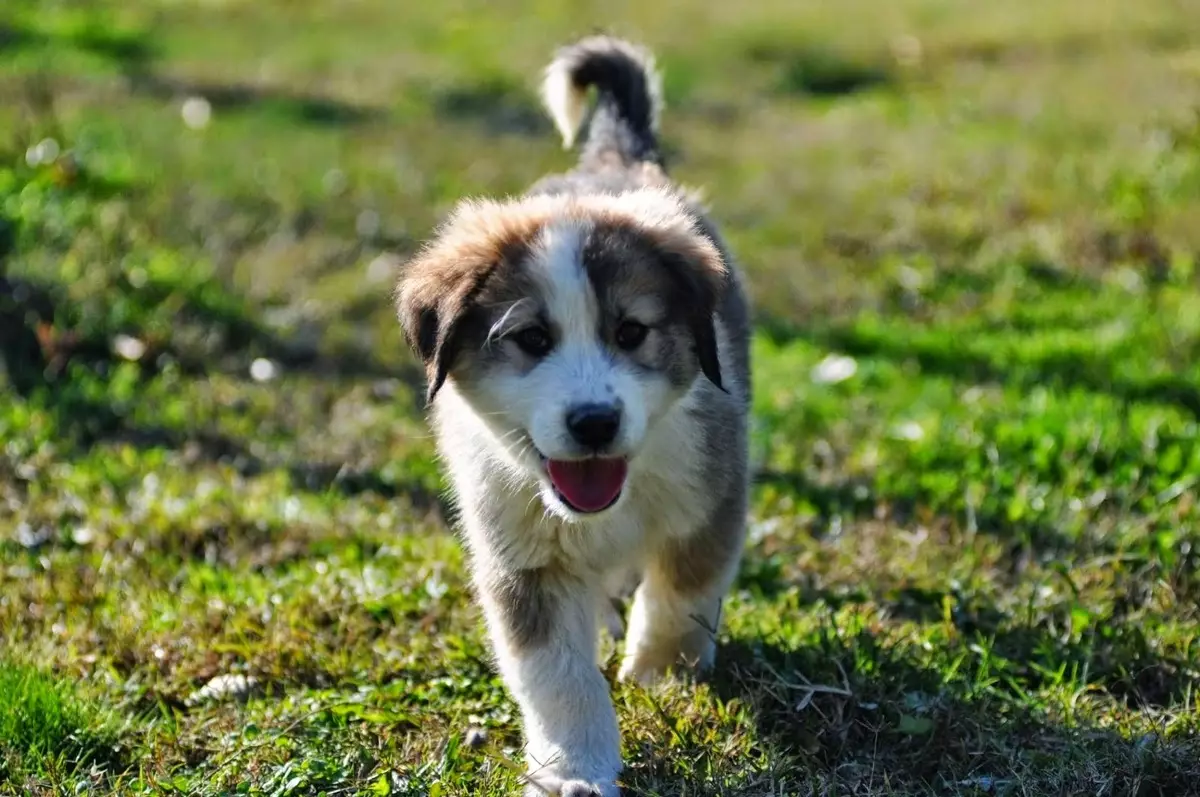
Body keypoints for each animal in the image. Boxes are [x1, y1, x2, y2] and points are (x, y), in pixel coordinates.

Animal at [393, 34, 748, 792]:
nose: (593, 424)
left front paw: (661, 680)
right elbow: (556, 672)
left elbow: (680, 595)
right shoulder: (519, 556)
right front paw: (573, 767)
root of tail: (608, 162)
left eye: (631, 332)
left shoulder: (708, 495)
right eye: (531, 339)